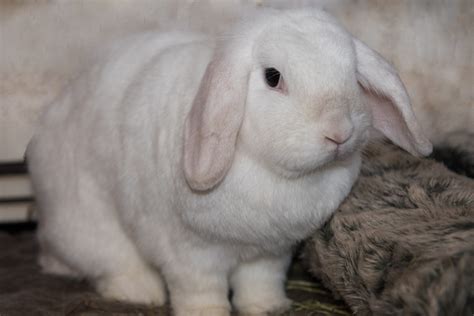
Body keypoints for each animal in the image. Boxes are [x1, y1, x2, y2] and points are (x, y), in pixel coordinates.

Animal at [26, 7, 434, 316]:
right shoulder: (190, 254)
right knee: (112, 264)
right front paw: (206, 313)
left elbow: (259, 283)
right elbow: (200, 289)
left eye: (351, 73)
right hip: (91, 224)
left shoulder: (271, 253)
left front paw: (269, 307)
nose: (339, 132)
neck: (269, 168)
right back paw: (141, 292)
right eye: (273, 77)